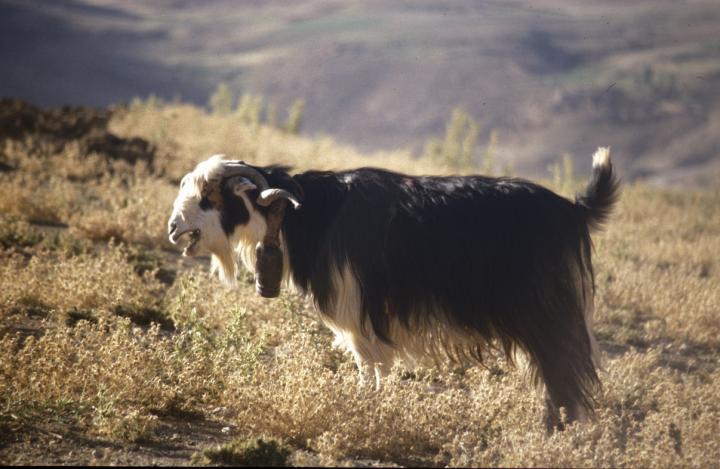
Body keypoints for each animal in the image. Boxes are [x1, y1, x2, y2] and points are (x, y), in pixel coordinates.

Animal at [167, 148, 619, 428]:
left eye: (210, 197)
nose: (174, 228)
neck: (309, 214)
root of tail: (572, 210)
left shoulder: (361, 311)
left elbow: (373, 364)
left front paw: (371, 407)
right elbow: (366, 366)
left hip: (546, 313)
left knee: (565, 370)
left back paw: (558, 431)